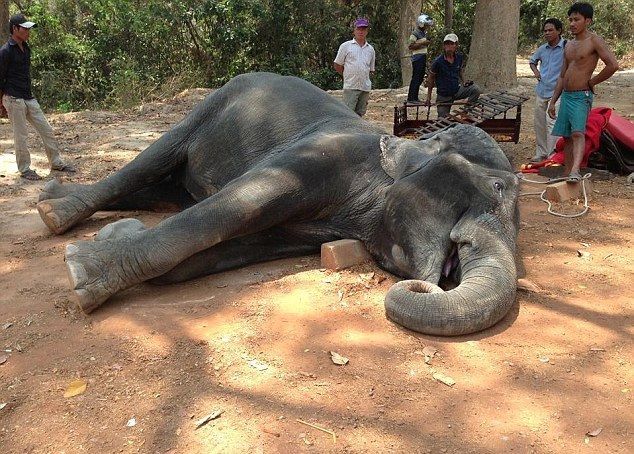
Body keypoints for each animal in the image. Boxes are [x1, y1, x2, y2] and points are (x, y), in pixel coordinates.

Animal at [35, 72, 520, 336]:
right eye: (496, 187)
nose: (434, 283)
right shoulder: (319, 155)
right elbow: (237, 204)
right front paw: (80, 270)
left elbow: (229, 248)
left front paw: (118, 234)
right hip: (210, 104)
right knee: (149, 164)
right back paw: (53, 214)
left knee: (163, 188)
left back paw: (54, 200)